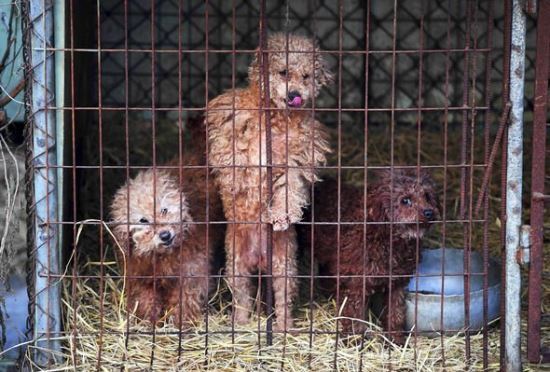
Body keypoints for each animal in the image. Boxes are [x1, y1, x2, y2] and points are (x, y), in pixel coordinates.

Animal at [110, 154, 224, 326]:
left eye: (164, 210)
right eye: (143, 220)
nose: (165, 235)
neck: (163, 256)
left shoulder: (191, 273)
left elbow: (185, 300)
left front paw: (181, 322)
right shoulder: (140, 278)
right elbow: (145, 301)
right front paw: (149, 322)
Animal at [207, 33, 334, 330]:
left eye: (306, 76)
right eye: (283, 72)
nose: (295, 95)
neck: (276, 117)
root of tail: (260, 258)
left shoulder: (297, 161)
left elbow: (290, 189)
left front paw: (281, 216)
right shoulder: (231, 129)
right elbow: (235, 160)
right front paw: (238, 184)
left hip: (284, 266)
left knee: (282, 299)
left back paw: (283, 328)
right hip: (236, 264)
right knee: (242, 297)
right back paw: (241, 323)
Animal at [300, 170, 442, 344]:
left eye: (427, 196)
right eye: (405, 200)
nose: (429, 213)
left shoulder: (397, 283)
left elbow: (396, 314)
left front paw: (395, 341)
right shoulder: (355, 285)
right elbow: (354, 317)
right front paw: (355, 342)